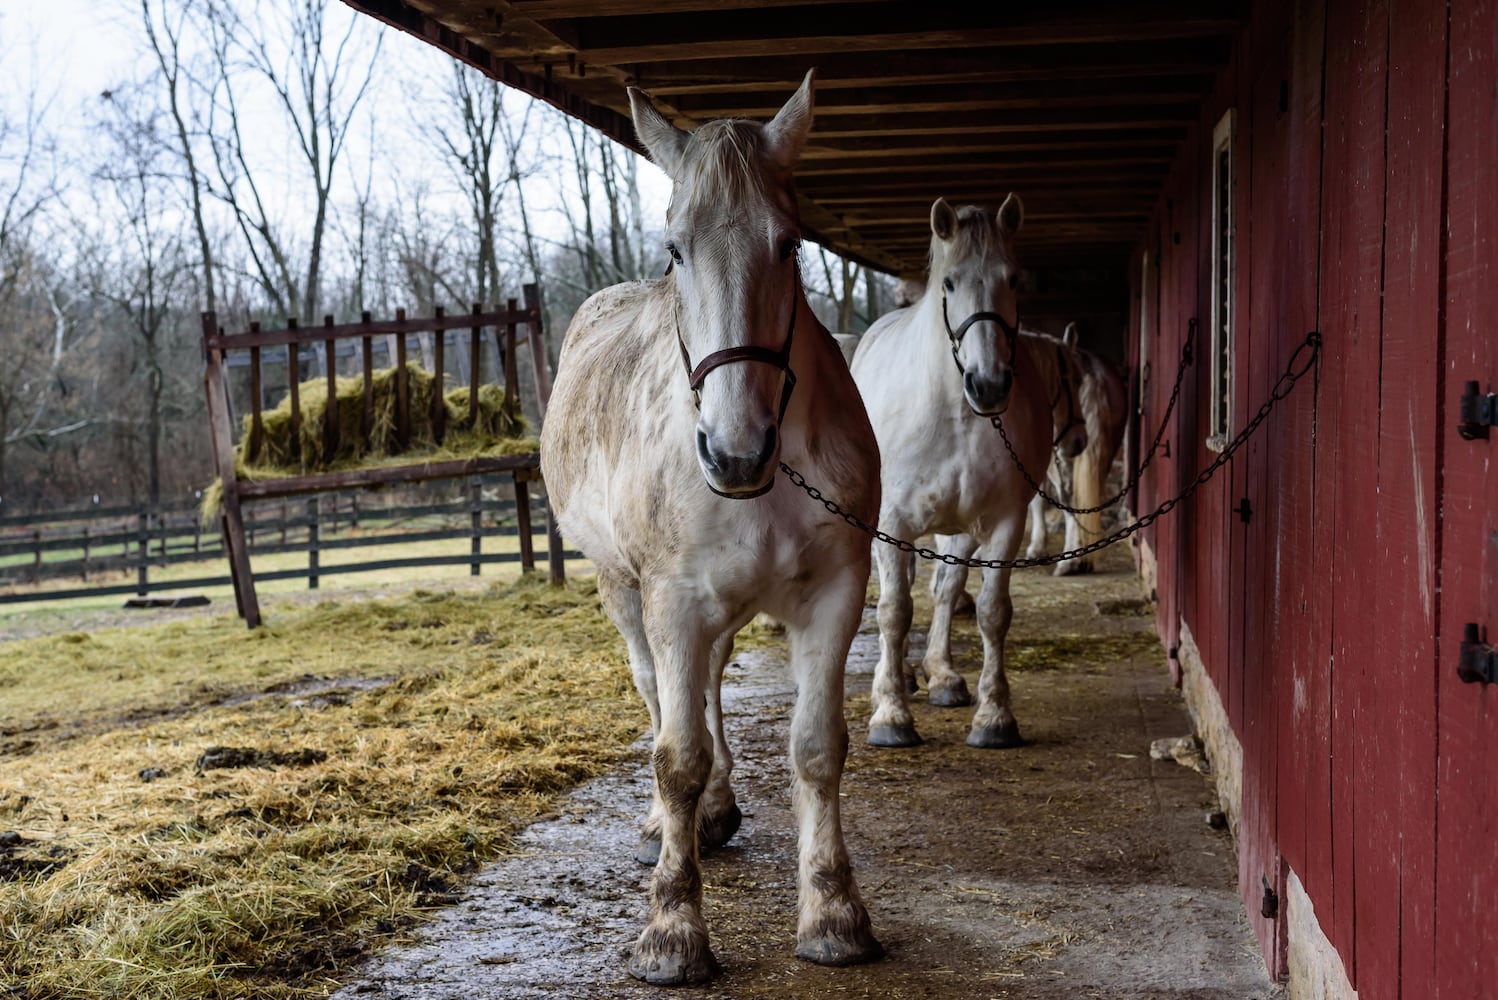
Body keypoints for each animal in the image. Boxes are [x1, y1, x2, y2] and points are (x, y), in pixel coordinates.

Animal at [542, 68, 880, 982]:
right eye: (675, 249)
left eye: (789, 244)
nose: (735, 450)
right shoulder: (672, 600)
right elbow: (677, 753)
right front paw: (672, 927)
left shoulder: (836, 594)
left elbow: (816, 746)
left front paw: (834, 912)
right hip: (623, 590)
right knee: (661, 694)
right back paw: (673, 823)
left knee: (710, 685)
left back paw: (718, 813)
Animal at [844, 194, 1078, 745]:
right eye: (949, 283)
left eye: (1012, 279)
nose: (988, 385)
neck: (952, 414)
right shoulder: (892, 524)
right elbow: (893, 610)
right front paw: (890, 714)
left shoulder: (1002, 522)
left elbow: (991, 612)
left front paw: (994, 715)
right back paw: (897, 679)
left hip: (959, 530)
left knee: (946, 590)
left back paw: (942, 675)